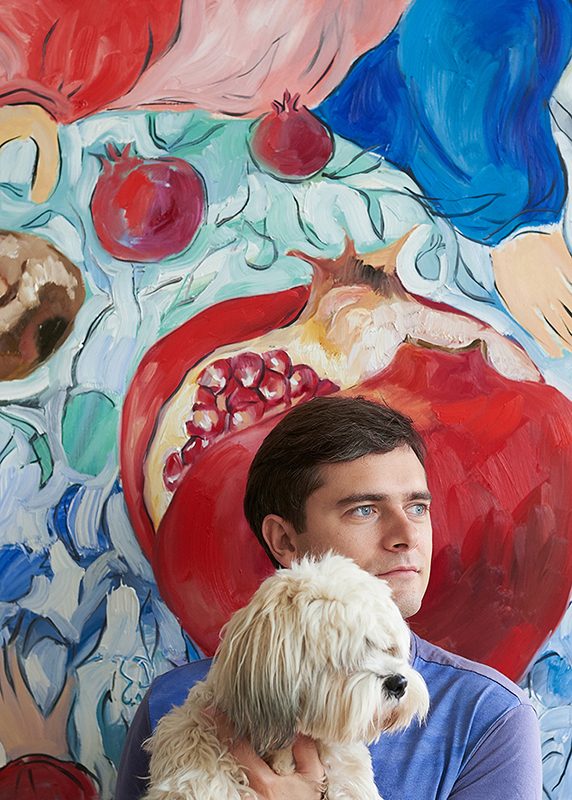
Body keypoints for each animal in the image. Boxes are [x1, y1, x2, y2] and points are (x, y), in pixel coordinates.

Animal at [143, 553, 430, 800]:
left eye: (388, 648)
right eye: (347, 653)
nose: (399, 683)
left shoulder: (343, 766)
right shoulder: (199, 722)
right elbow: (193, 749)